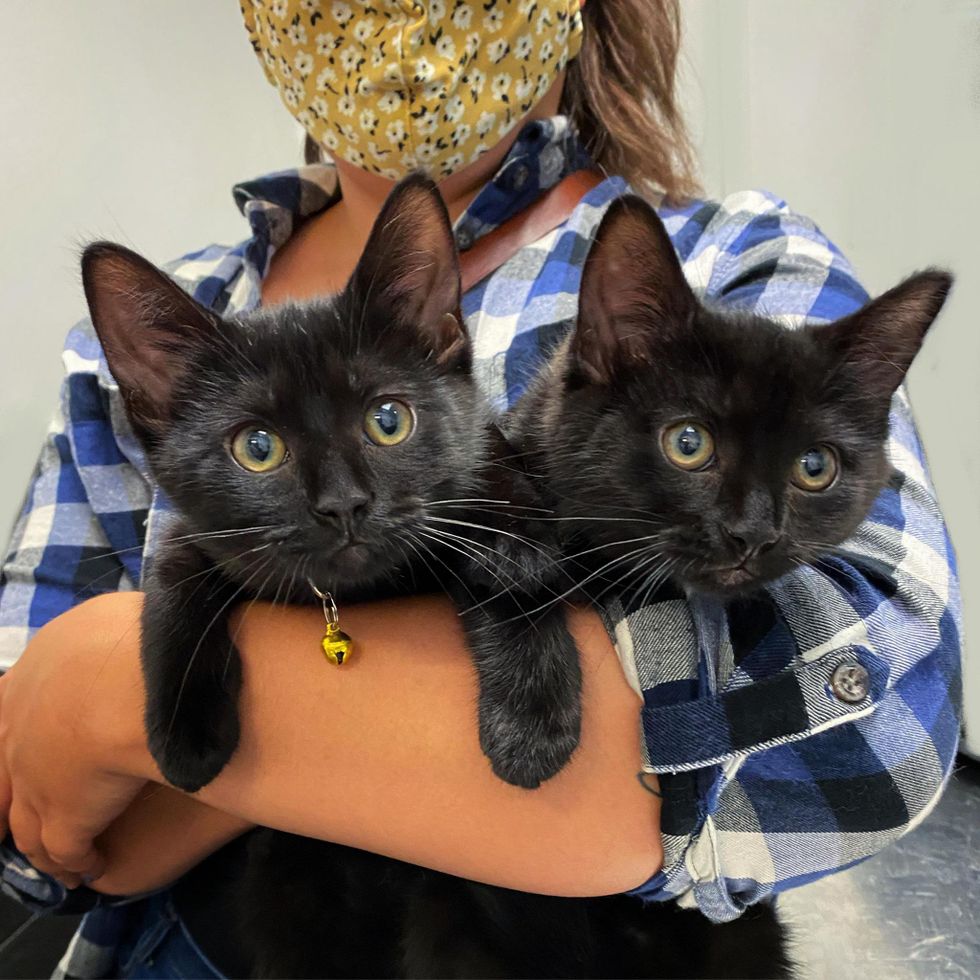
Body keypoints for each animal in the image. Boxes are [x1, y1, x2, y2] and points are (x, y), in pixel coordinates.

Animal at [82, 172, 580, 792]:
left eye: (388, 421)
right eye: (258, 448)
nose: (344, 504)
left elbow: (505, 534)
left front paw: (531, 713)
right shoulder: (194, 533)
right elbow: (171, 579)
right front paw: (185, 734)